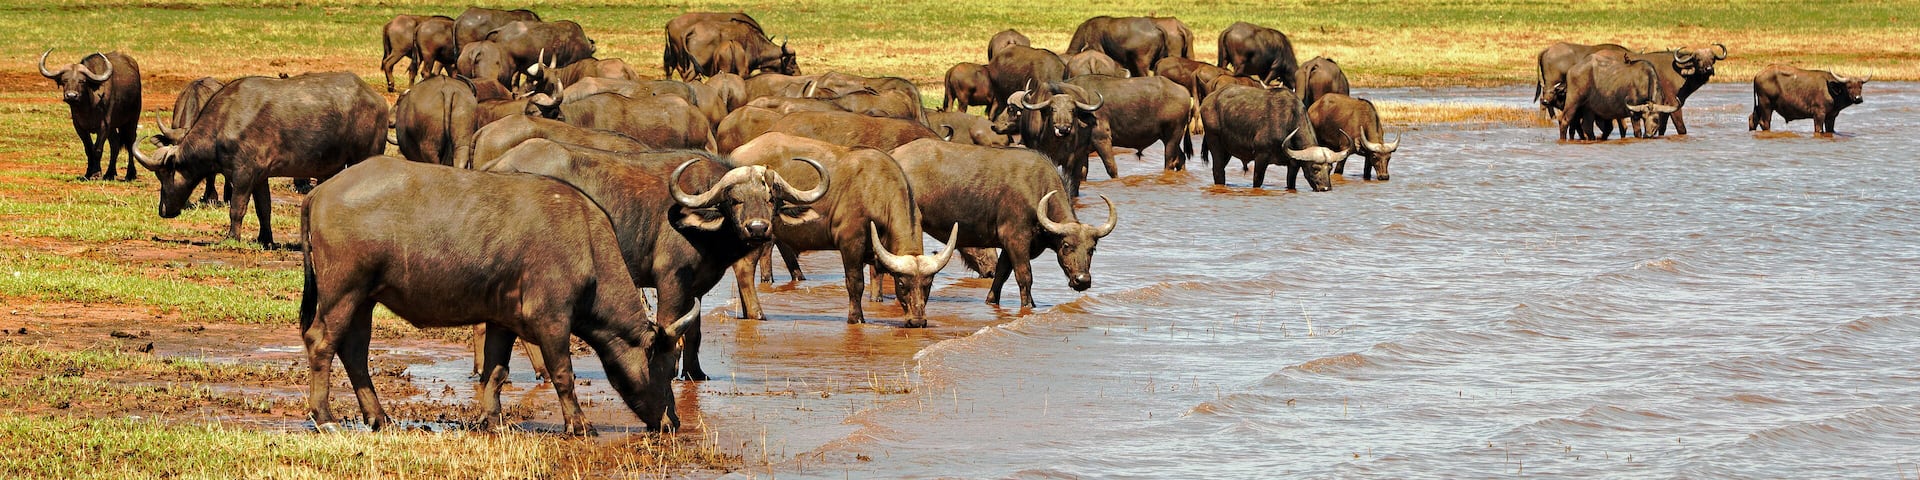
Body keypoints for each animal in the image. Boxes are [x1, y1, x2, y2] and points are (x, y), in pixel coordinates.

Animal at [40, 49, 141, 181]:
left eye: (82, 81)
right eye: (64, 80)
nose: (71, 96)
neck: (89, 107)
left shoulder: (104, 126)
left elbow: (97, 149)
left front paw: (96, 174)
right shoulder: (79, 127)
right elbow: (88, 149)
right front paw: (88, 173)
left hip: (132, 119)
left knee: (130, 143)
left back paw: (130, 174)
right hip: (113, 127)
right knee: (115, 143)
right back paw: (109, 173)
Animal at [134, 72, 387, 246]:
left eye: (164, 175)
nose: (163, 210)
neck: (223, 122)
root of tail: (378, 100)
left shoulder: (244, 174)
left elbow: (237, 207)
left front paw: (232, 237)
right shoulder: (260, 177)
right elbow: (263, 208)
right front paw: (265, 238)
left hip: (365, 156)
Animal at [301, 155, 692, 434]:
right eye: (665, 365)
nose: (672, 422)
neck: (586, 243)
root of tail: (321, 191)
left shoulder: (502, 321)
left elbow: (496, 371)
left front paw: (493, 419)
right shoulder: (551, 320)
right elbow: (563, 373)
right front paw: (579, 424)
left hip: (364, 298)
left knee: (354, 351)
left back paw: (379, 417)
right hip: (343, 292)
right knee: (322, 343)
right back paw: (325, 417)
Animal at [892, 139, 1118, 307]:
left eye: (1092, 249)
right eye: (1066, 246)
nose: (1082, 280)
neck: (1037, 191)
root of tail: (894, 155)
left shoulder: (1008, 247)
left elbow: (1001, 275)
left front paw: (992, 301)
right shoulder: (1016, 240)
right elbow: (1024, 276)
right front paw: (1028, 306)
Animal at [1200, 85, 1350, 191]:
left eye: (1330, 168)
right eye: (1315, 168)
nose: (1325, 188)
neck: (1287, 120)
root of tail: (1207, 101)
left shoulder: (1293, 165)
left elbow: (1291, 183)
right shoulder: (1261, 157)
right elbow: (1258, 181)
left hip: (1227, 151)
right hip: (1215, 142)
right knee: (1218, 171)